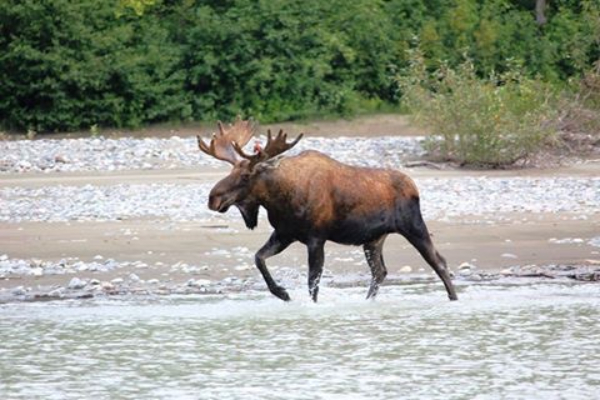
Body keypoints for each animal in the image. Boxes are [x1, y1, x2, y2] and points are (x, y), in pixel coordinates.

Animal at [199, 120, 458, 302]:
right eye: (231, 171)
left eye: (245, 176)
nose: (213, 198)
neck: (280, 199)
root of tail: (415, 186)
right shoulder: (284, 234)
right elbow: (258, 258)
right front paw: (283, 293)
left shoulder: (316, 237)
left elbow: (312, 282)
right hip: (373, 239)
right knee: (380, 271)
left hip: (413, 225)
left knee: (439, 261)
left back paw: (453, 298)